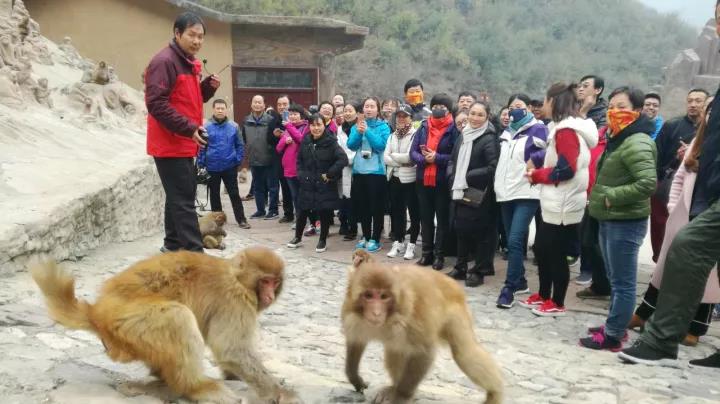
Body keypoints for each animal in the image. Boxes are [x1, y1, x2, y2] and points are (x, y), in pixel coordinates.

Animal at [30, 246, 302, 404]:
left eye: (275, 281)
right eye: (265, 281)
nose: (269, 295)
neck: (236, 277)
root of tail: (97, 313)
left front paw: (235, 376)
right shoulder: (235, 300)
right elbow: (231, 349)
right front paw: (280, 394)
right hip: (129, 322)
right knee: (178, 317)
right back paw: (197, 388)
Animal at [341, 262, 504, 404]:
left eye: (384, 297)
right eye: (368, 295)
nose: (376, 313)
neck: (389, 316)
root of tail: (453, 284)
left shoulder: (415, 317)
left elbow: (423, 352)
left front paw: (402, 396)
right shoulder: (351, 313)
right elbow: (356, 341)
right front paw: (354, 378)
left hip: (456, 315)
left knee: (464, 353)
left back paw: (495, 393)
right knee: (396, 349)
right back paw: (393, 388)